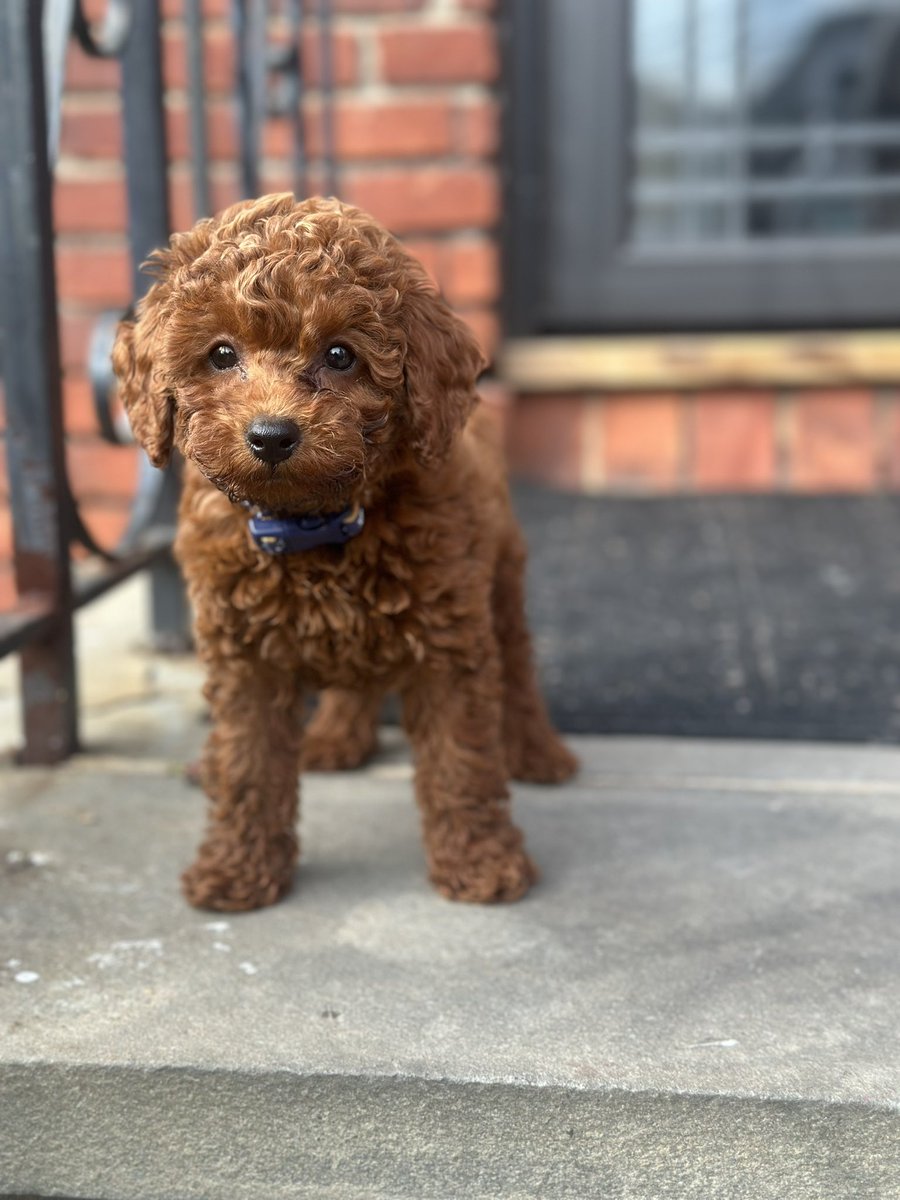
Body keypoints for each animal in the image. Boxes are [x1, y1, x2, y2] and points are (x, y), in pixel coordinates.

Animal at [112, 194, 578, 907]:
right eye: (220, 354)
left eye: (339, 355)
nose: (271, 436)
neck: (315, 525)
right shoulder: (243, 658)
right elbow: (247, 764)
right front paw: (238, 870)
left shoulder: (449, 645)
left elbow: (462, 761)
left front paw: (481, 864)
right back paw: (334, 736)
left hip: (499, 580)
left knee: (519, 668)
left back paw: (538, 753)